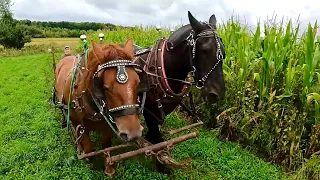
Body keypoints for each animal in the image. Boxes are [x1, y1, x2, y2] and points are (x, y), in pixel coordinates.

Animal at [55, 38, 145, 175]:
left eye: (138, 82)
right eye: (106, 87)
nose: (133, 133)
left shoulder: (107, 124)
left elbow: (106, 145)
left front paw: (109, 168)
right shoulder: (79, 125)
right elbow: (88, 149)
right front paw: (92, 163)